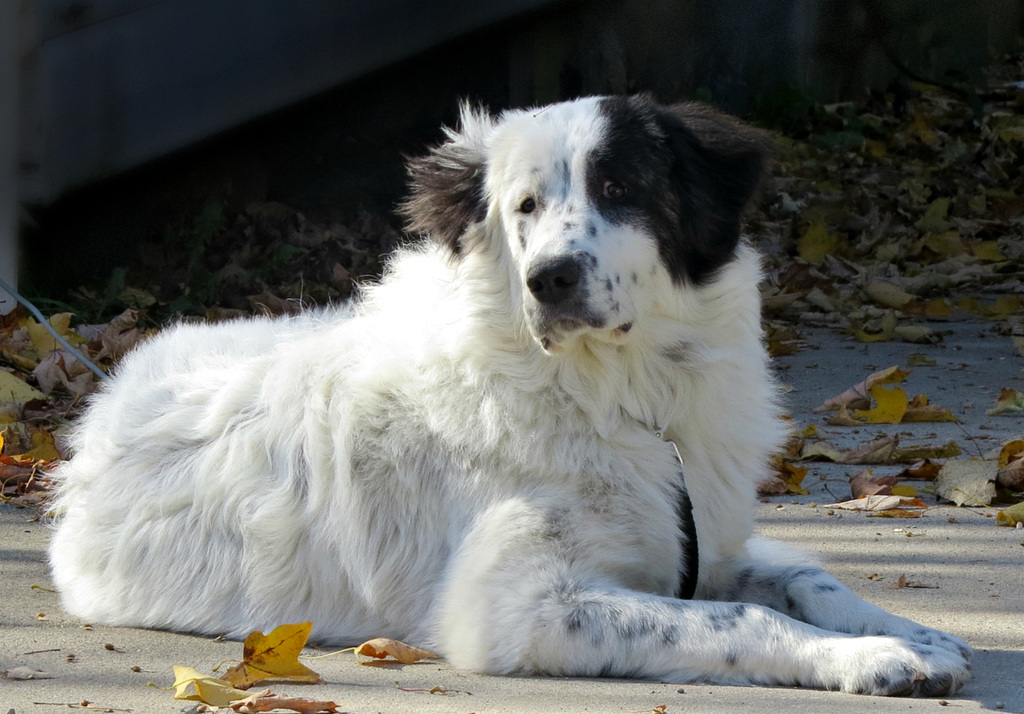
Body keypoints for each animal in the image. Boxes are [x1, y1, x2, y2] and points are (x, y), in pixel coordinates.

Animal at [49, 97, 974, 692]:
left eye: (619, 187)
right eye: (524, 206)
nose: (550, 279)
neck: (618, 393)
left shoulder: (704, 547)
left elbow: (811, 580)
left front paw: (914, 633)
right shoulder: (514, 605)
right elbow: (742, 620)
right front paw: (867, 659)